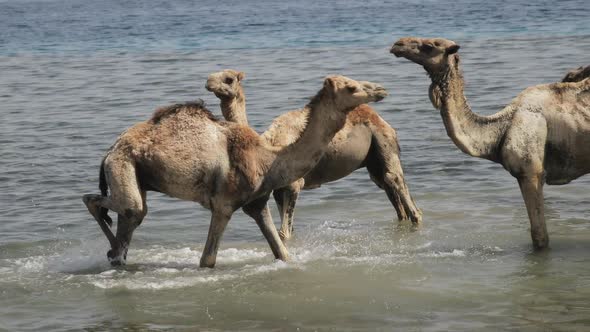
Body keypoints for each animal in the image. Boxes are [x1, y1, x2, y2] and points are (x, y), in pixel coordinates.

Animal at [82, 75, 388, 268]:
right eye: (351, 87)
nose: (380, 89)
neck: (268, 159)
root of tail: (109, 151)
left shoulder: (257, 202)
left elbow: (282, 252)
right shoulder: (224, 204)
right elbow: (207, 260)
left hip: (136, 175)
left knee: (127, 217)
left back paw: (114, 252)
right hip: (122, 165)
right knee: (119, 206)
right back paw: (111, 248)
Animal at [206, 68, 424, 240]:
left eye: (228, 79)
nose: (208, 81)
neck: (272, 146)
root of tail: (383, 121)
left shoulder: (294, 185)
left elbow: (285, 232)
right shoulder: (279, 190)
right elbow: (287, 228)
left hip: (384, 142)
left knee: (395, 179)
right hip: (373, 160)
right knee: (388, 187)